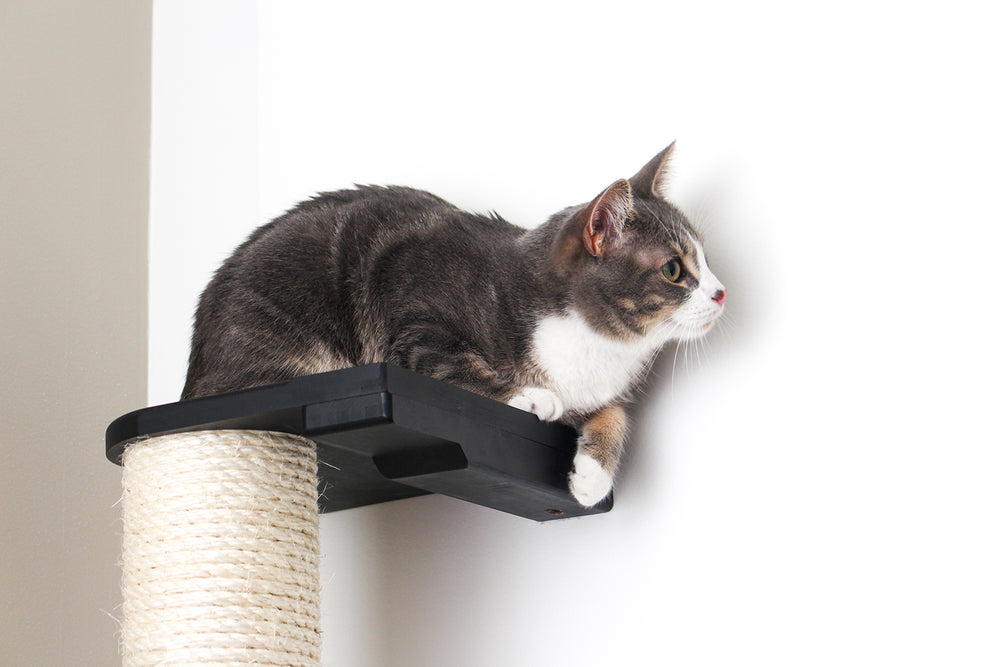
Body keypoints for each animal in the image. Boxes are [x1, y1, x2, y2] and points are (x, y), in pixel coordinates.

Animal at [182, 142, 728, 506]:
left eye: (704, 257)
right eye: (674, 269)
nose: (722, 293)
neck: (592, 346)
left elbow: (615, 414)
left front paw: (592, 476)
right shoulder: (409, 300)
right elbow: (451, 361)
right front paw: (529, 396)